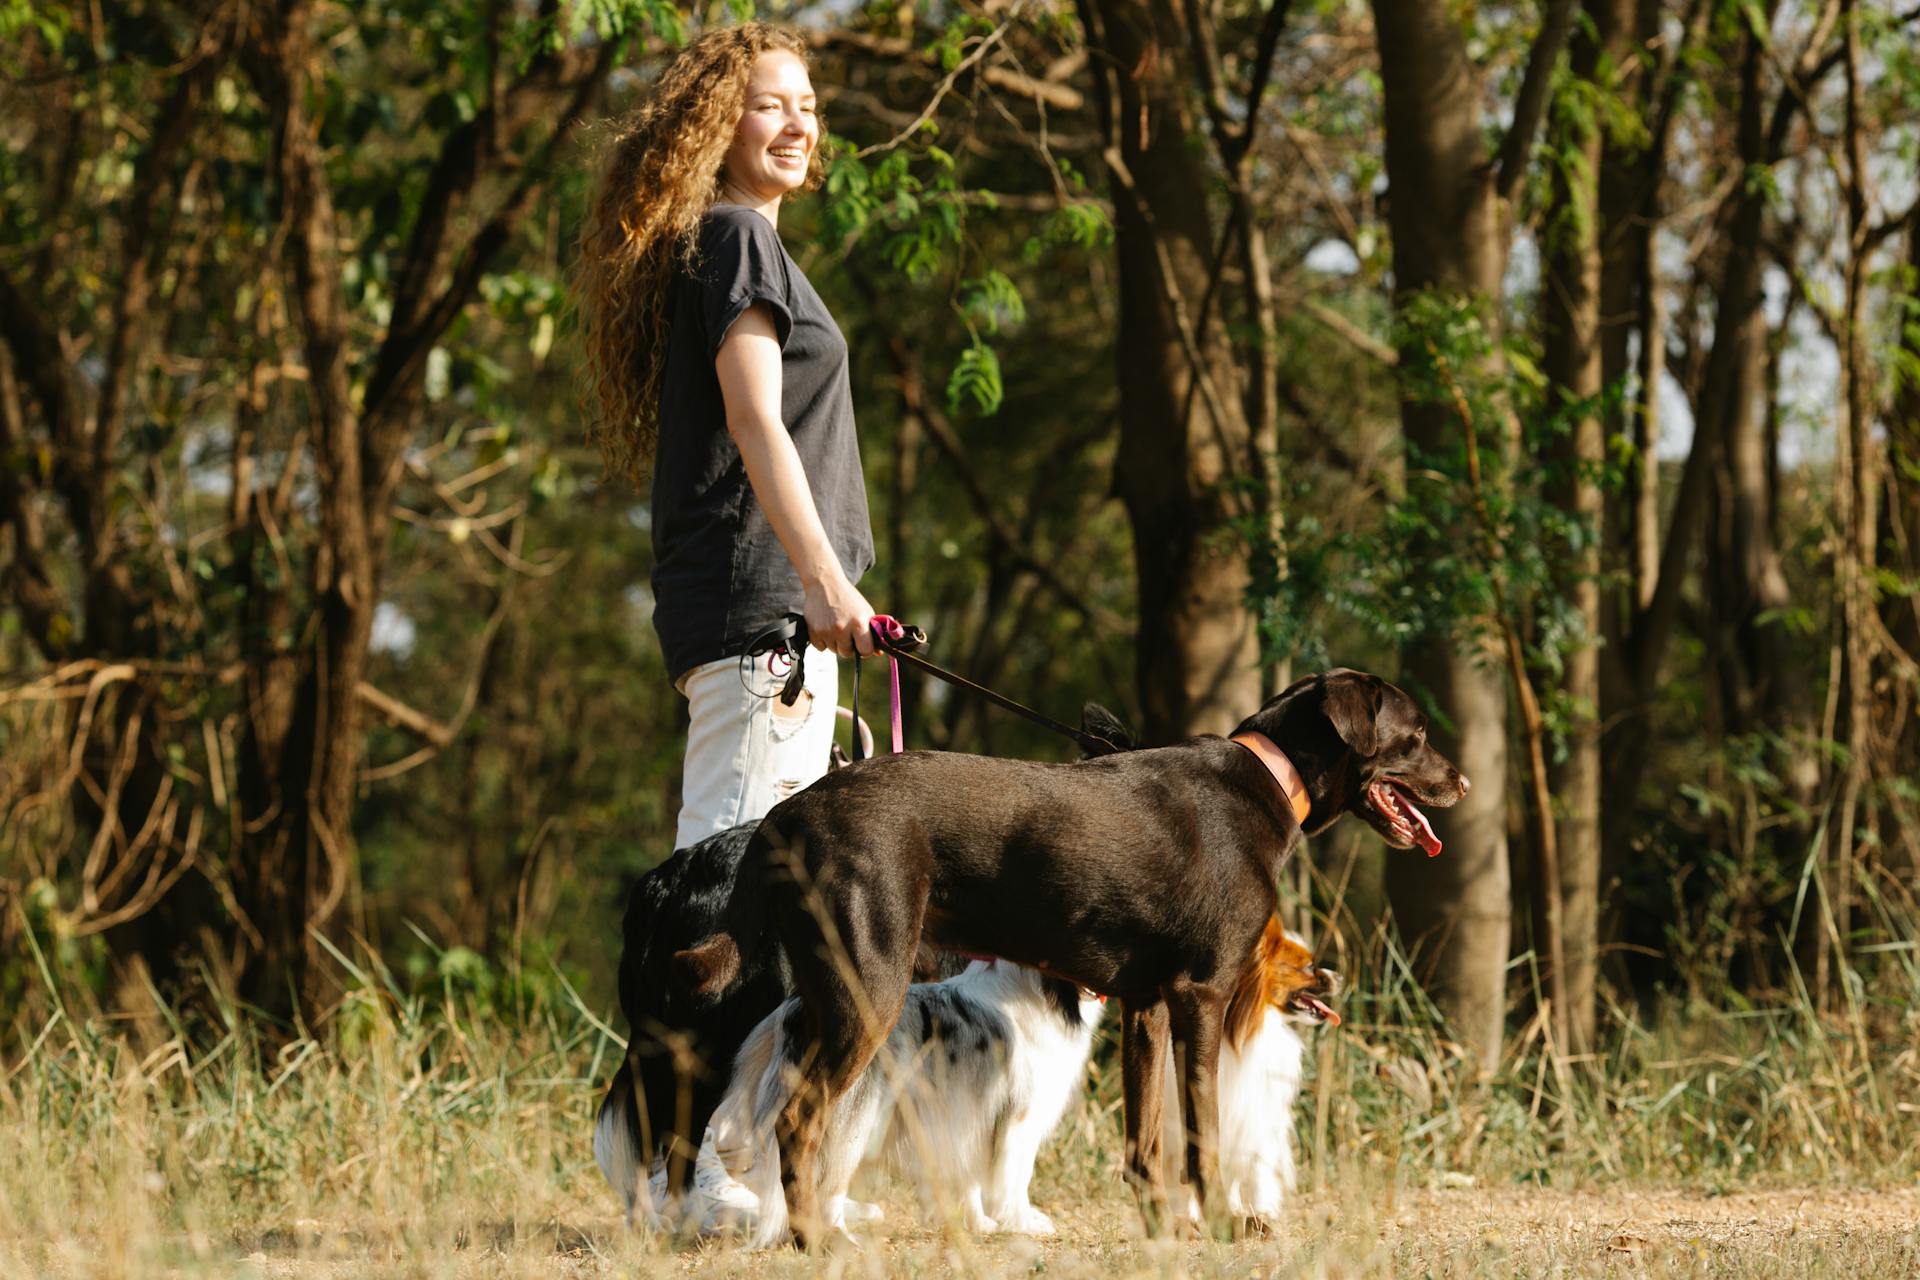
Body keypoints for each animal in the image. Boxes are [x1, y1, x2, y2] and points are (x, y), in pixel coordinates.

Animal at [679, 667, 1466, 1243]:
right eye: (1418, 734)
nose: (1460, 782)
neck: (1271, 777)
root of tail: (788, 813)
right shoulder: (1201, 995)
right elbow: (1201, 1133)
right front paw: (1221, 1223)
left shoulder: (1146, 1004)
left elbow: (1146, 1142)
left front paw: (1163, 1229)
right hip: (866, 990)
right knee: (797, 1121)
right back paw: (817, 1241)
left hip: (824, 994)